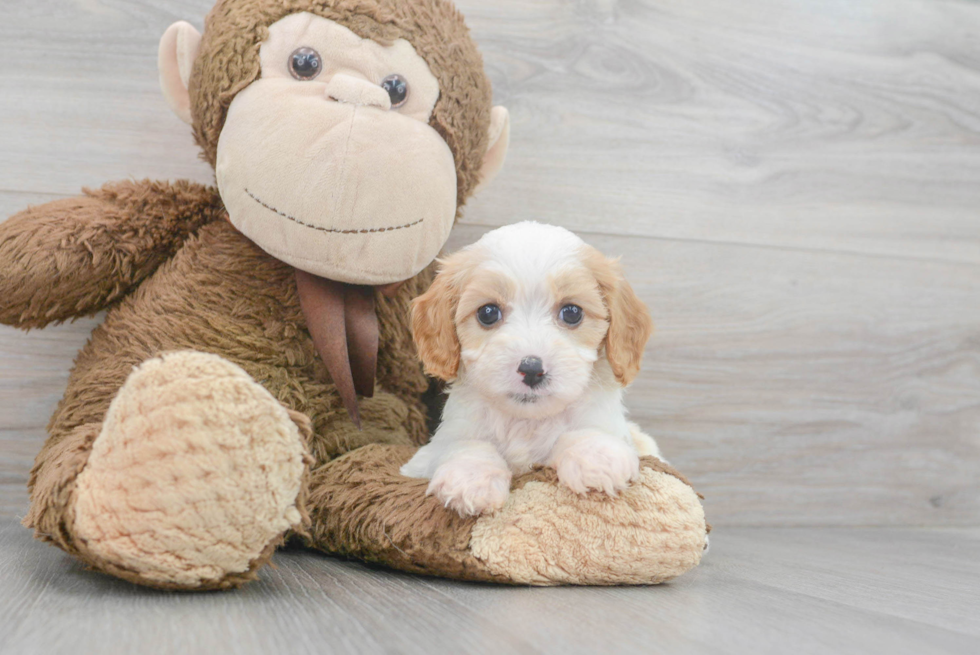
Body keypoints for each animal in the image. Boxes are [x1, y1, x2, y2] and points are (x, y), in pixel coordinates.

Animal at [402, 223, 664, 520]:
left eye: (572, 312)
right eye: (487, 313)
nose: (531, 369)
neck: (527, 421)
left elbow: (585, 431)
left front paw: (596, 457)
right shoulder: (436, 447)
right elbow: (465, 444)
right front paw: (470, 478)